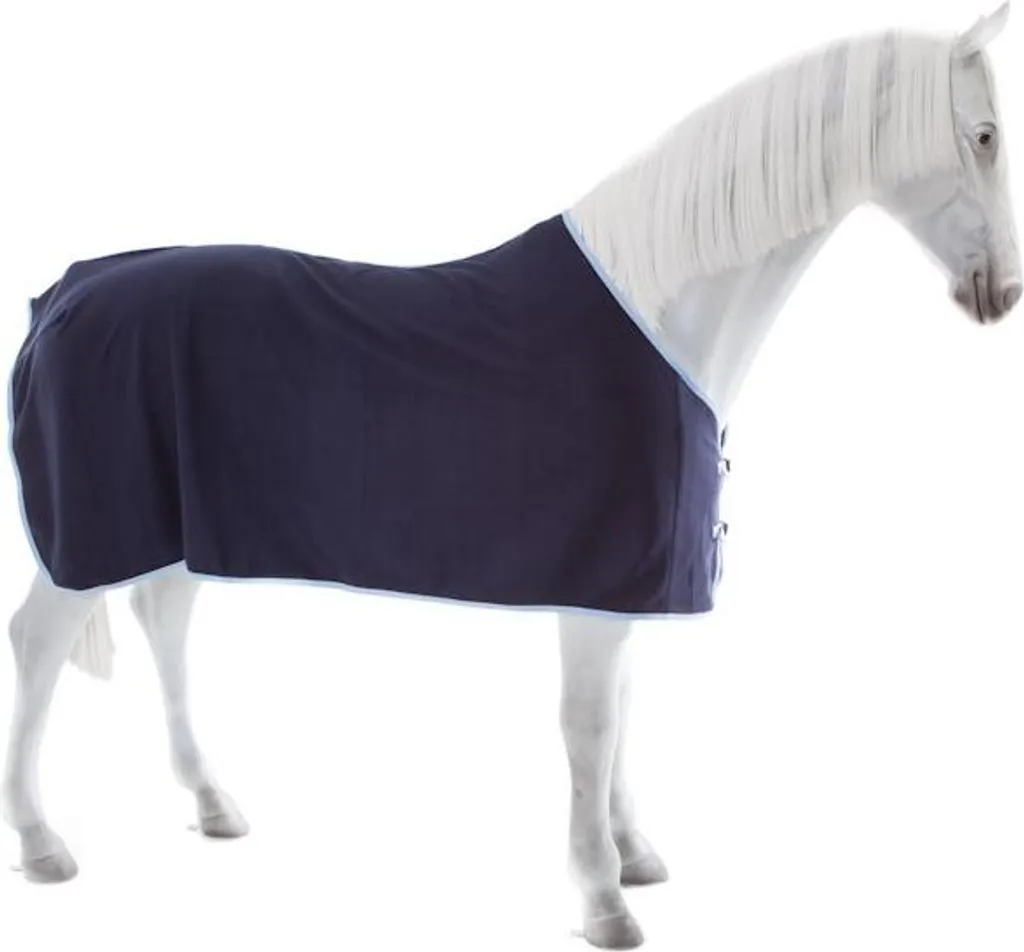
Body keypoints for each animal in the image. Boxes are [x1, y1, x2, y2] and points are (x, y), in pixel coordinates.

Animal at [3, 7, 1021, 949]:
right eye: (983, 135)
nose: (1002, 295)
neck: (661, 311)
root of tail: (65, 293)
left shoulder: (628, 590)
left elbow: (622, 719)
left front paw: (633, 855)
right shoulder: (597, 590)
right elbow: (589, 728)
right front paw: (603, 897)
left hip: (176, 527)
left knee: (164, 621)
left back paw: (212, 803)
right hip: (91, 532)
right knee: (39, 643)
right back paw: (43, 843)